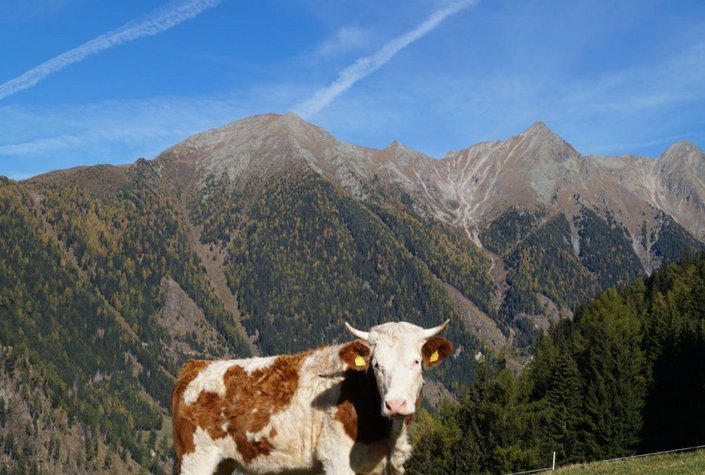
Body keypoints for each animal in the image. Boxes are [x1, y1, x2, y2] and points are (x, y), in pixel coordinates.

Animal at [173, 322, 454, 474]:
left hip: (222, 462)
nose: (395, 404)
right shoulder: (337, 460)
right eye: (376, 365)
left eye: (416, 361)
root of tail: (196, 366)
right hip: (195, 458)